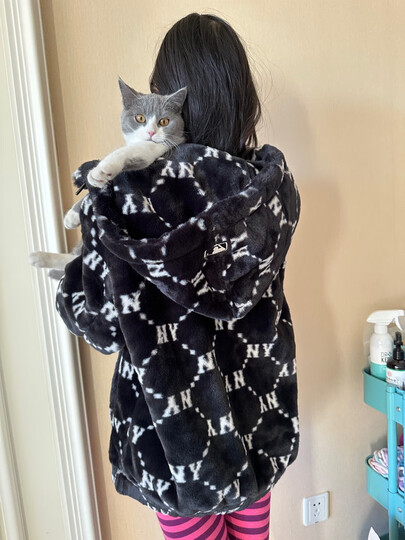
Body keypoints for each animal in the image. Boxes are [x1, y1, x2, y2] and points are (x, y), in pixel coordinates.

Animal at [29, 78, 187, 279]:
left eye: (164, 121)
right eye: (140, 118)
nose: (151, 133)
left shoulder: (153, 150)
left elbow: (126, 153)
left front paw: (101, 170)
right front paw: (72, 215)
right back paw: (40, 258)